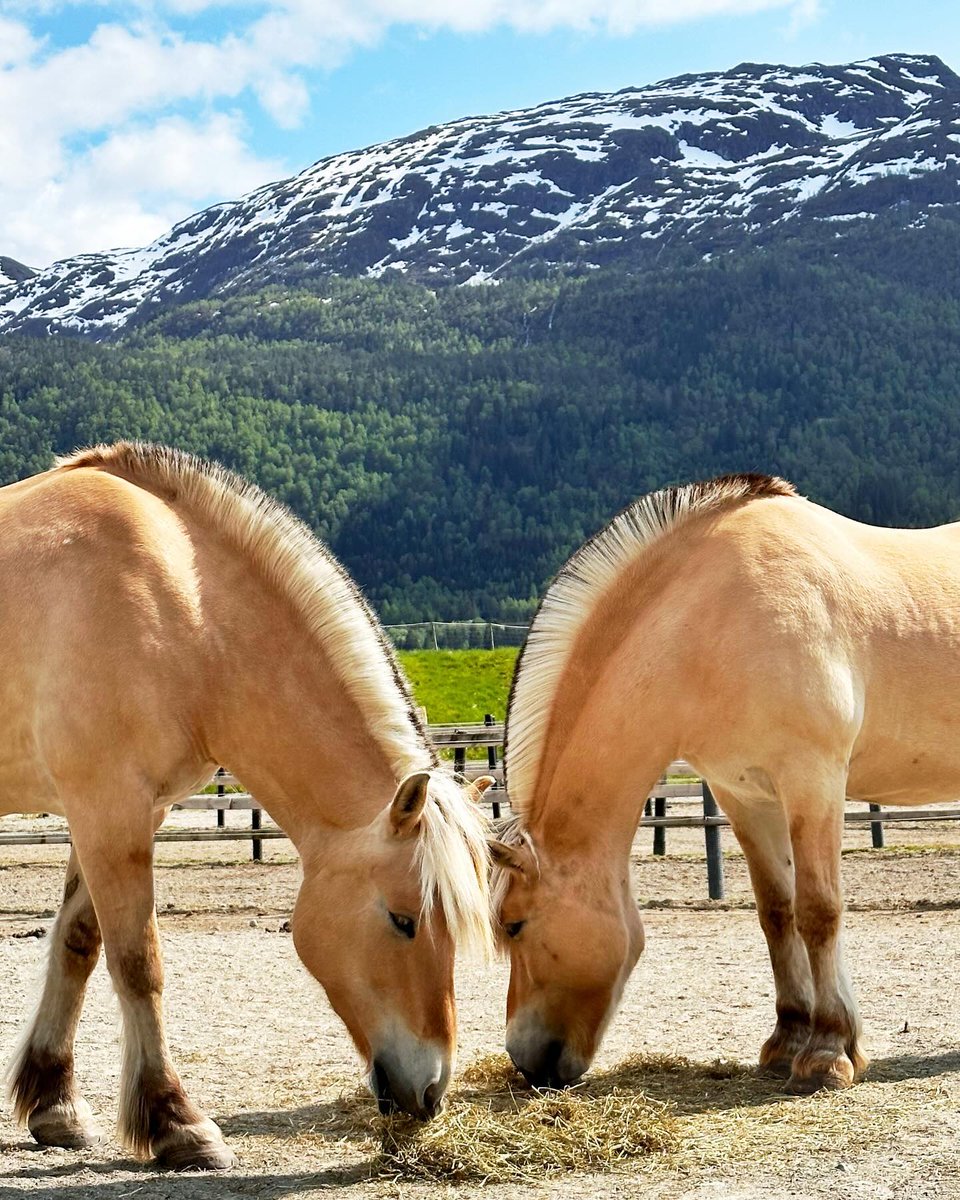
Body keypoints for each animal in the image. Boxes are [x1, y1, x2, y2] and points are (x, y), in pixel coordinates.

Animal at [0, 442, 494, 1170]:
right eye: (403, 921)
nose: (429, 1092)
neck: (182, 606)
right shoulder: (107, 807)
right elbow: (137, 963)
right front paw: (175, 1122)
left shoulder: (127, 812)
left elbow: (78, 944)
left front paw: (54, 1105)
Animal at [491, 473, 960, 1095]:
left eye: (515, 925)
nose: (527, 1063)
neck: (717, 618)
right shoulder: (747, 797)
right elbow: (777, 913)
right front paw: (790, 1040)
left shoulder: (813, 780)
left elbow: (819, 910)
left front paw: (827, 1051)